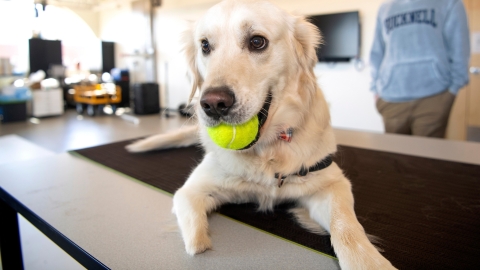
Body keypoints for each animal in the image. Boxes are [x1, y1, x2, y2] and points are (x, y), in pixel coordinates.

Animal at [125, 1, 396, 268]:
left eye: (257, 41)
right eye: (205, 45)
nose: (213, 104)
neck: (267, 152)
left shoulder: (332, 182)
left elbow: (346, 227)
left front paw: (368, 261)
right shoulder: (192, 190)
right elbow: (194, 233)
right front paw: (198, 242)